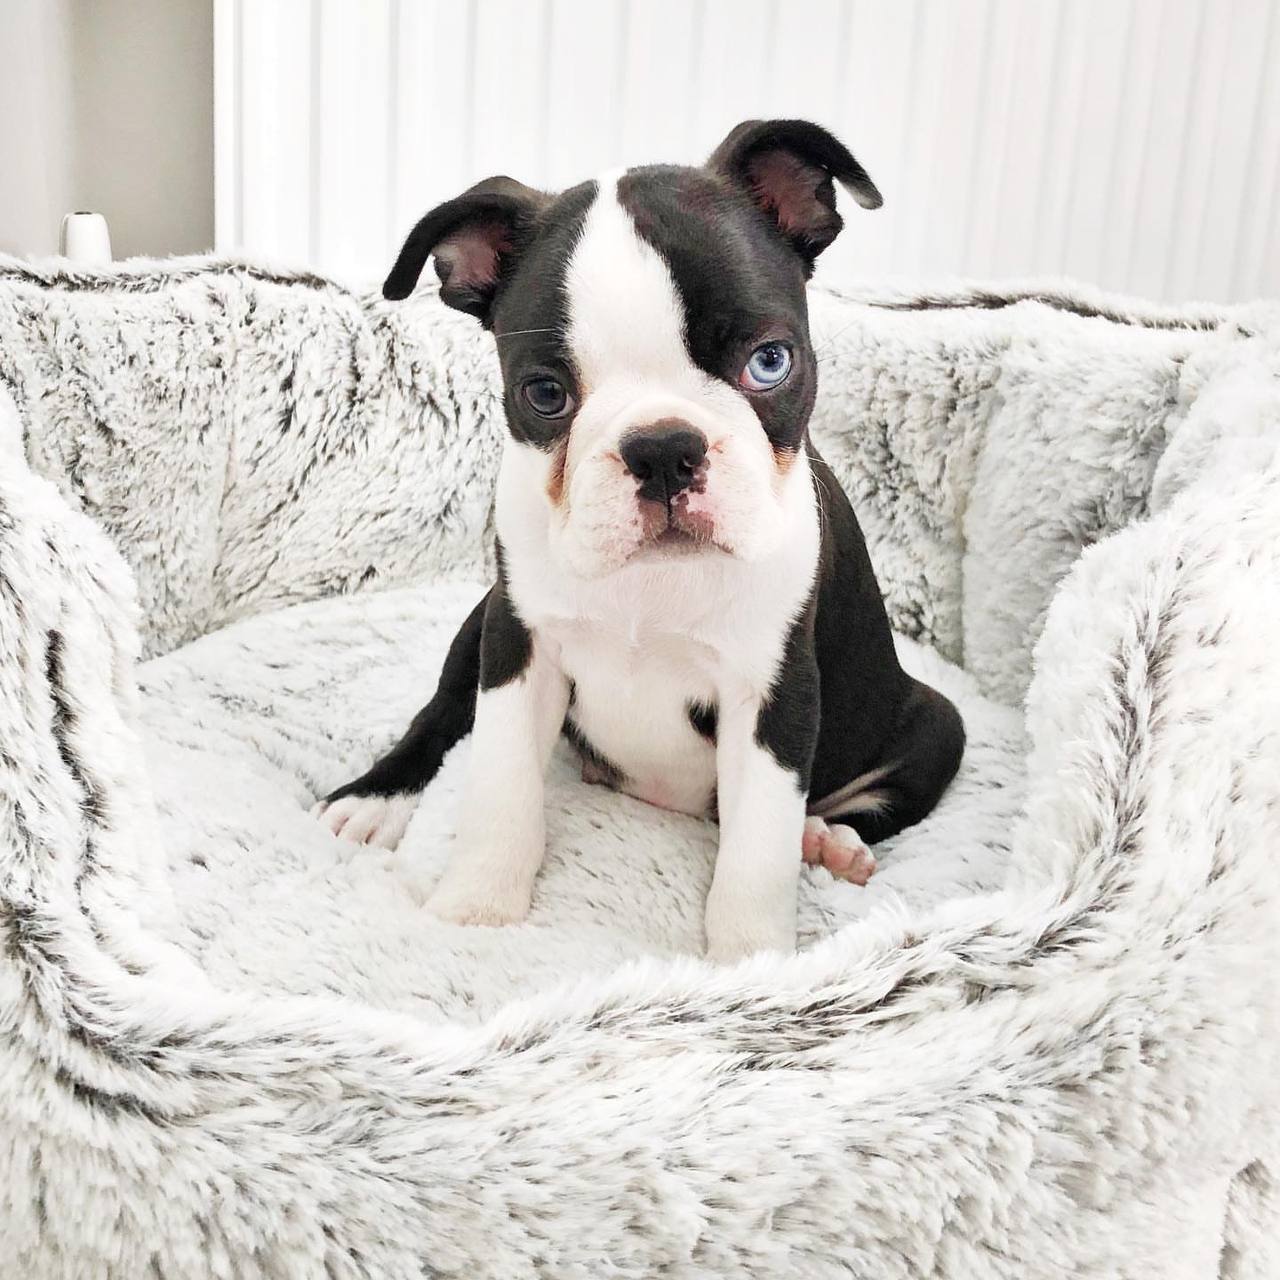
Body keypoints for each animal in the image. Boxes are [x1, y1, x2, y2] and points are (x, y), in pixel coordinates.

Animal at [313, 119, 964, 961]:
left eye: (770, 362)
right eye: (544, 394)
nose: (662, 449)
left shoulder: (774, 689)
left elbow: (756, 855)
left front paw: (751, 966)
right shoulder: (519, 643)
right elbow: (500, 788)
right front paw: (476, 911)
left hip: (933, 725)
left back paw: (827, 840)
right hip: (482, 621)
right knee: (443, 712)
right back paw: (376, 797)